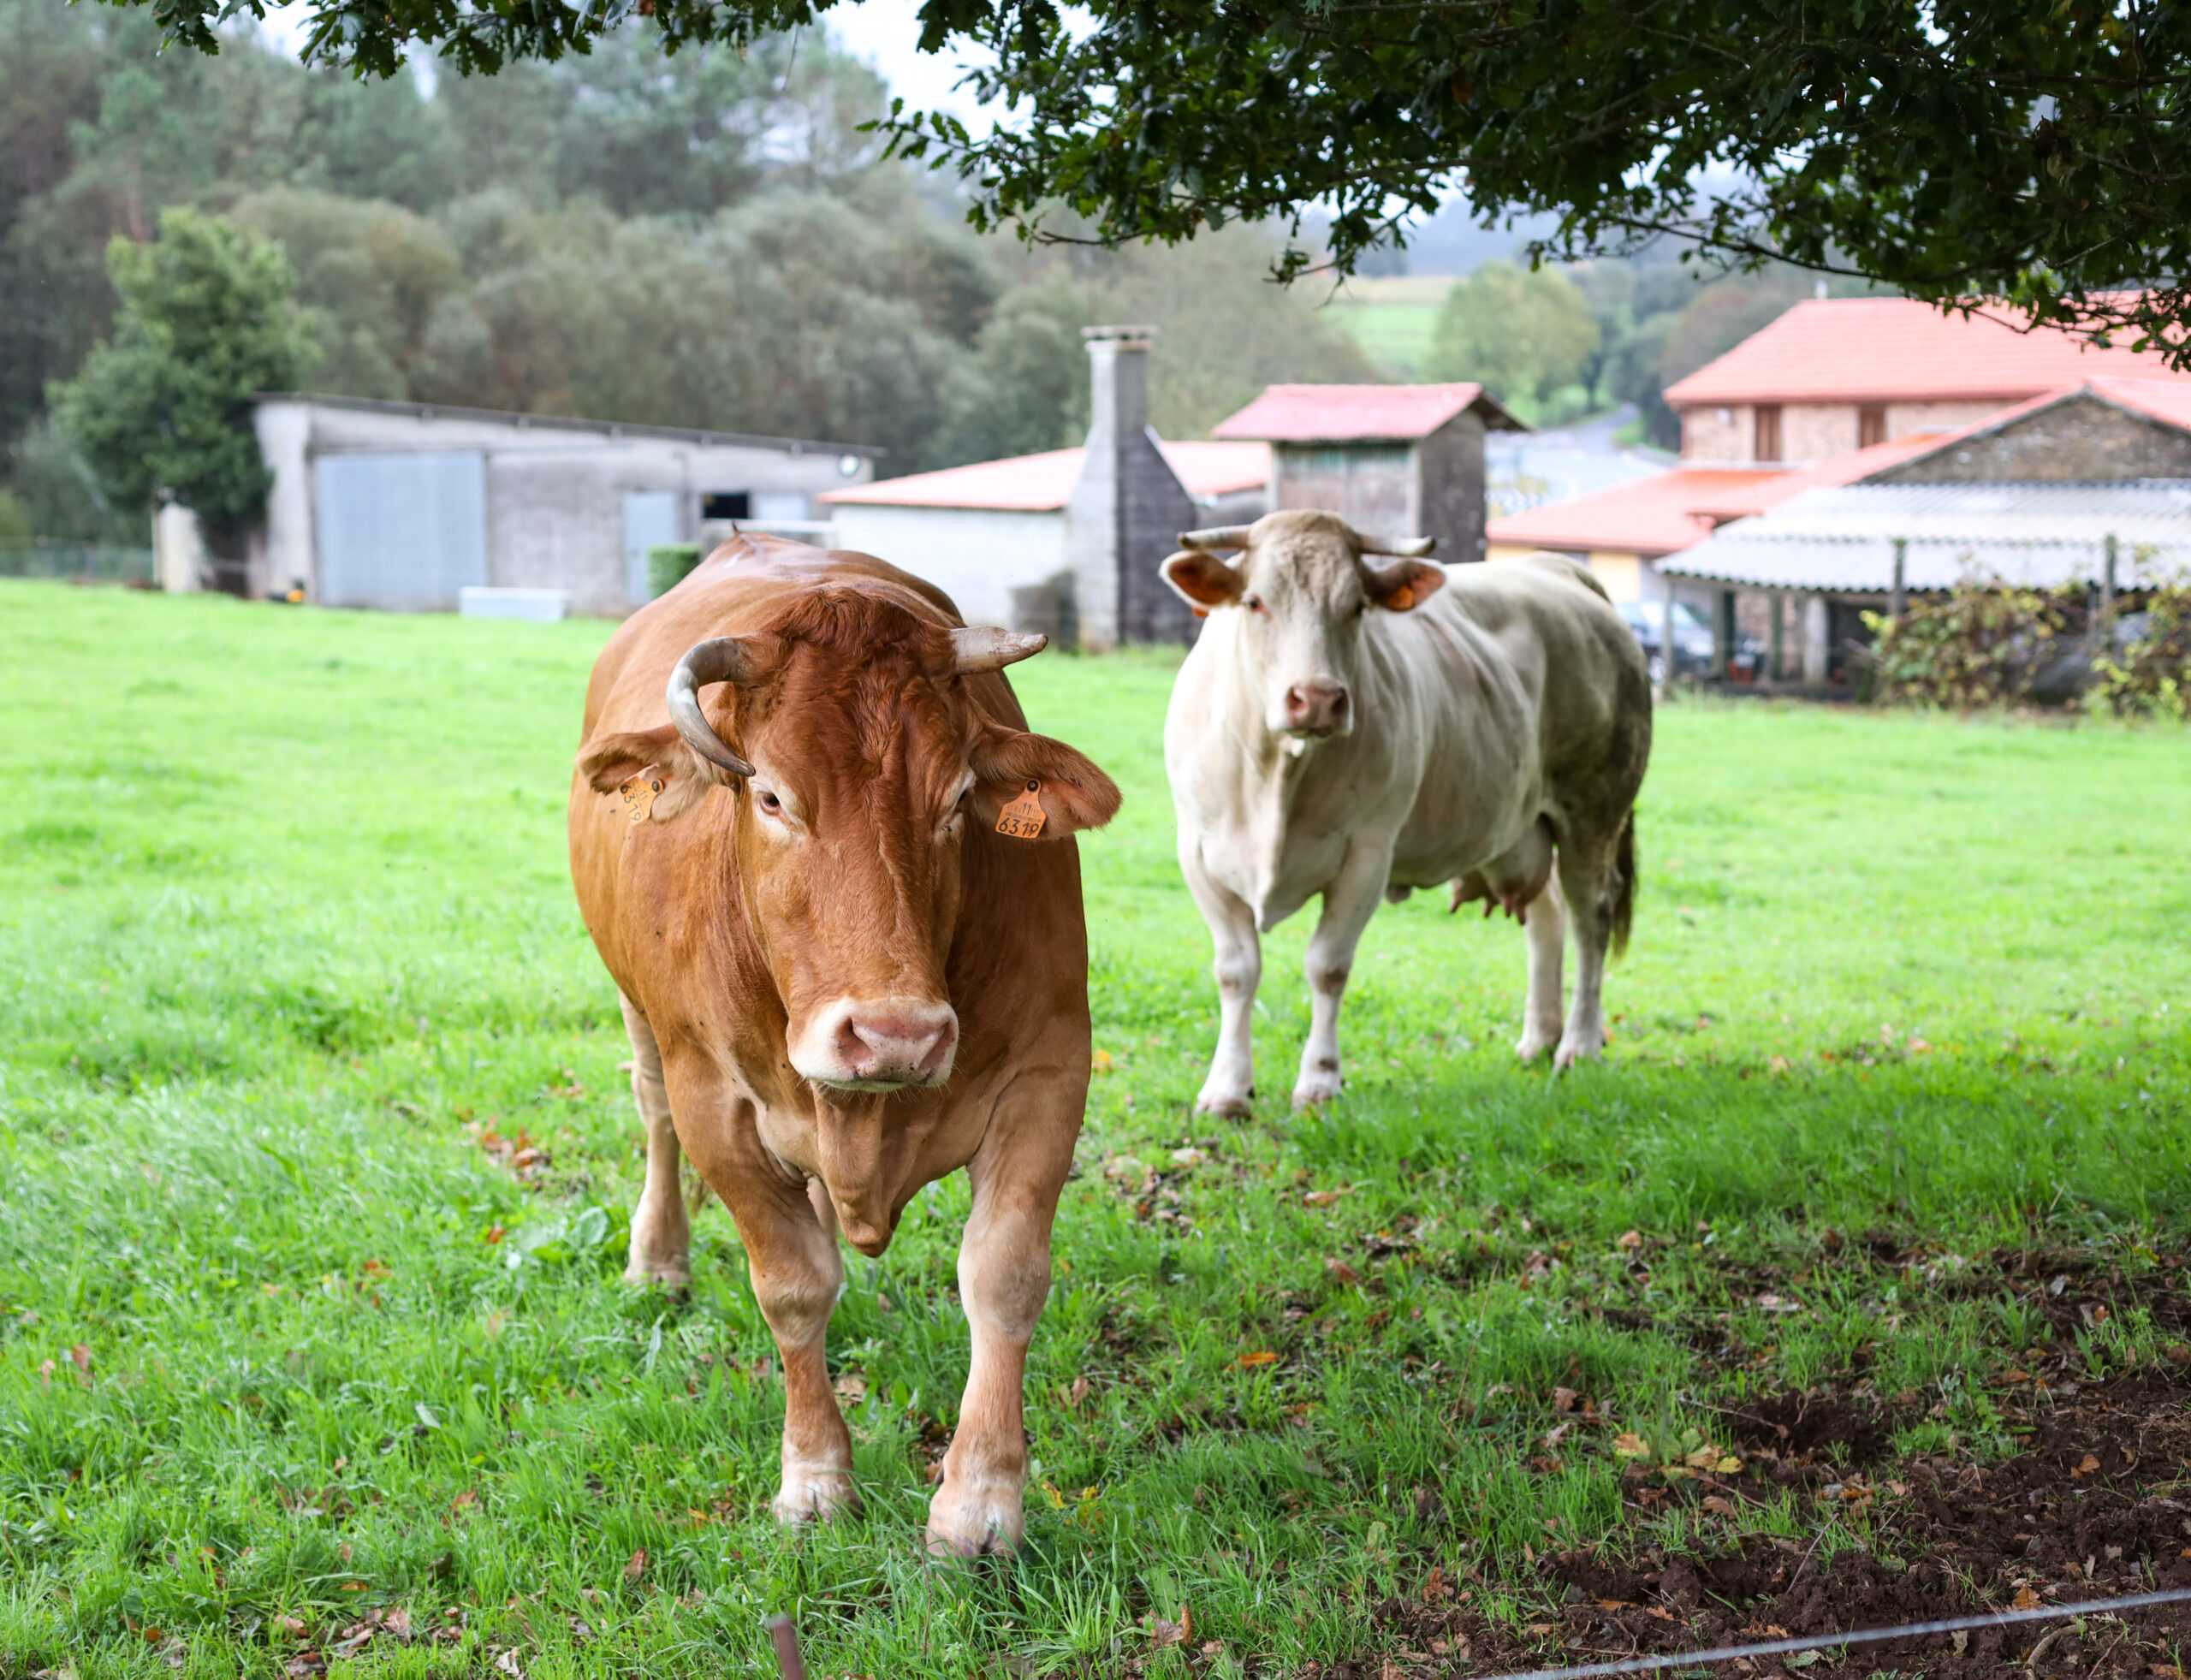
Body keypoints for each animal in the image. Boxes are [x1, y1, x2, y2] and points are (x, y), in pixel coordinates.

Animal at [569, 534, 1113, 1551]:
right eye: (773, 795)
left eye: (957, 798)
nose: (894, 1032)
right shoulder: (716, 1102)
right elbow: (790, 1285)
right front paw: (815, 1478)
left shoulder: (1052, 1069)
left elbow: (1004, 1275)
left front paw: (980, 1500)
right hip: (639, 1019)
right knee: (652, 1115)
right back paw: (657, 1259)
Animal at [1165, 512, 1648, 1117]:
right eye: (1254, 602)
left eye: (1356, 607)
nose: (1317, 698)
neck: (1276, 772)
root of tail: (1556, 569)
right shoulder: (1198, 853)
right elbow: (1236, 971)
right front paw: (1227, 1088)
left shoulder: (1367, 855)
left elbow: (1327, 966)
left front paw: (1320, 1080)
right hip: (1522, 825)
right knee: (1549, 916)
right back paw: (1539, 1038)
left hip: (1594, 813)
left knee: (1591, 919)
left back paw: (1579, 1044)